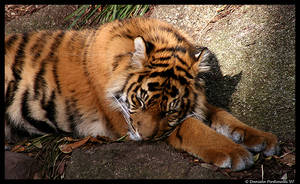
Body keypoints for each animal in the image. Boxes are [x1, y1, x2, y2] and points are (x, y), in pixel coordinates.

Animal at [4, 17, 280, 171]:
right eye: (139, 101)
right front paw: (236, 153)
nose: (145, 139)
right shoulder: (121, 120)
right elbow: (191, 126)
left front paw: (262, 138)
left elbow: (220, 113)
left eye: (171, 110)